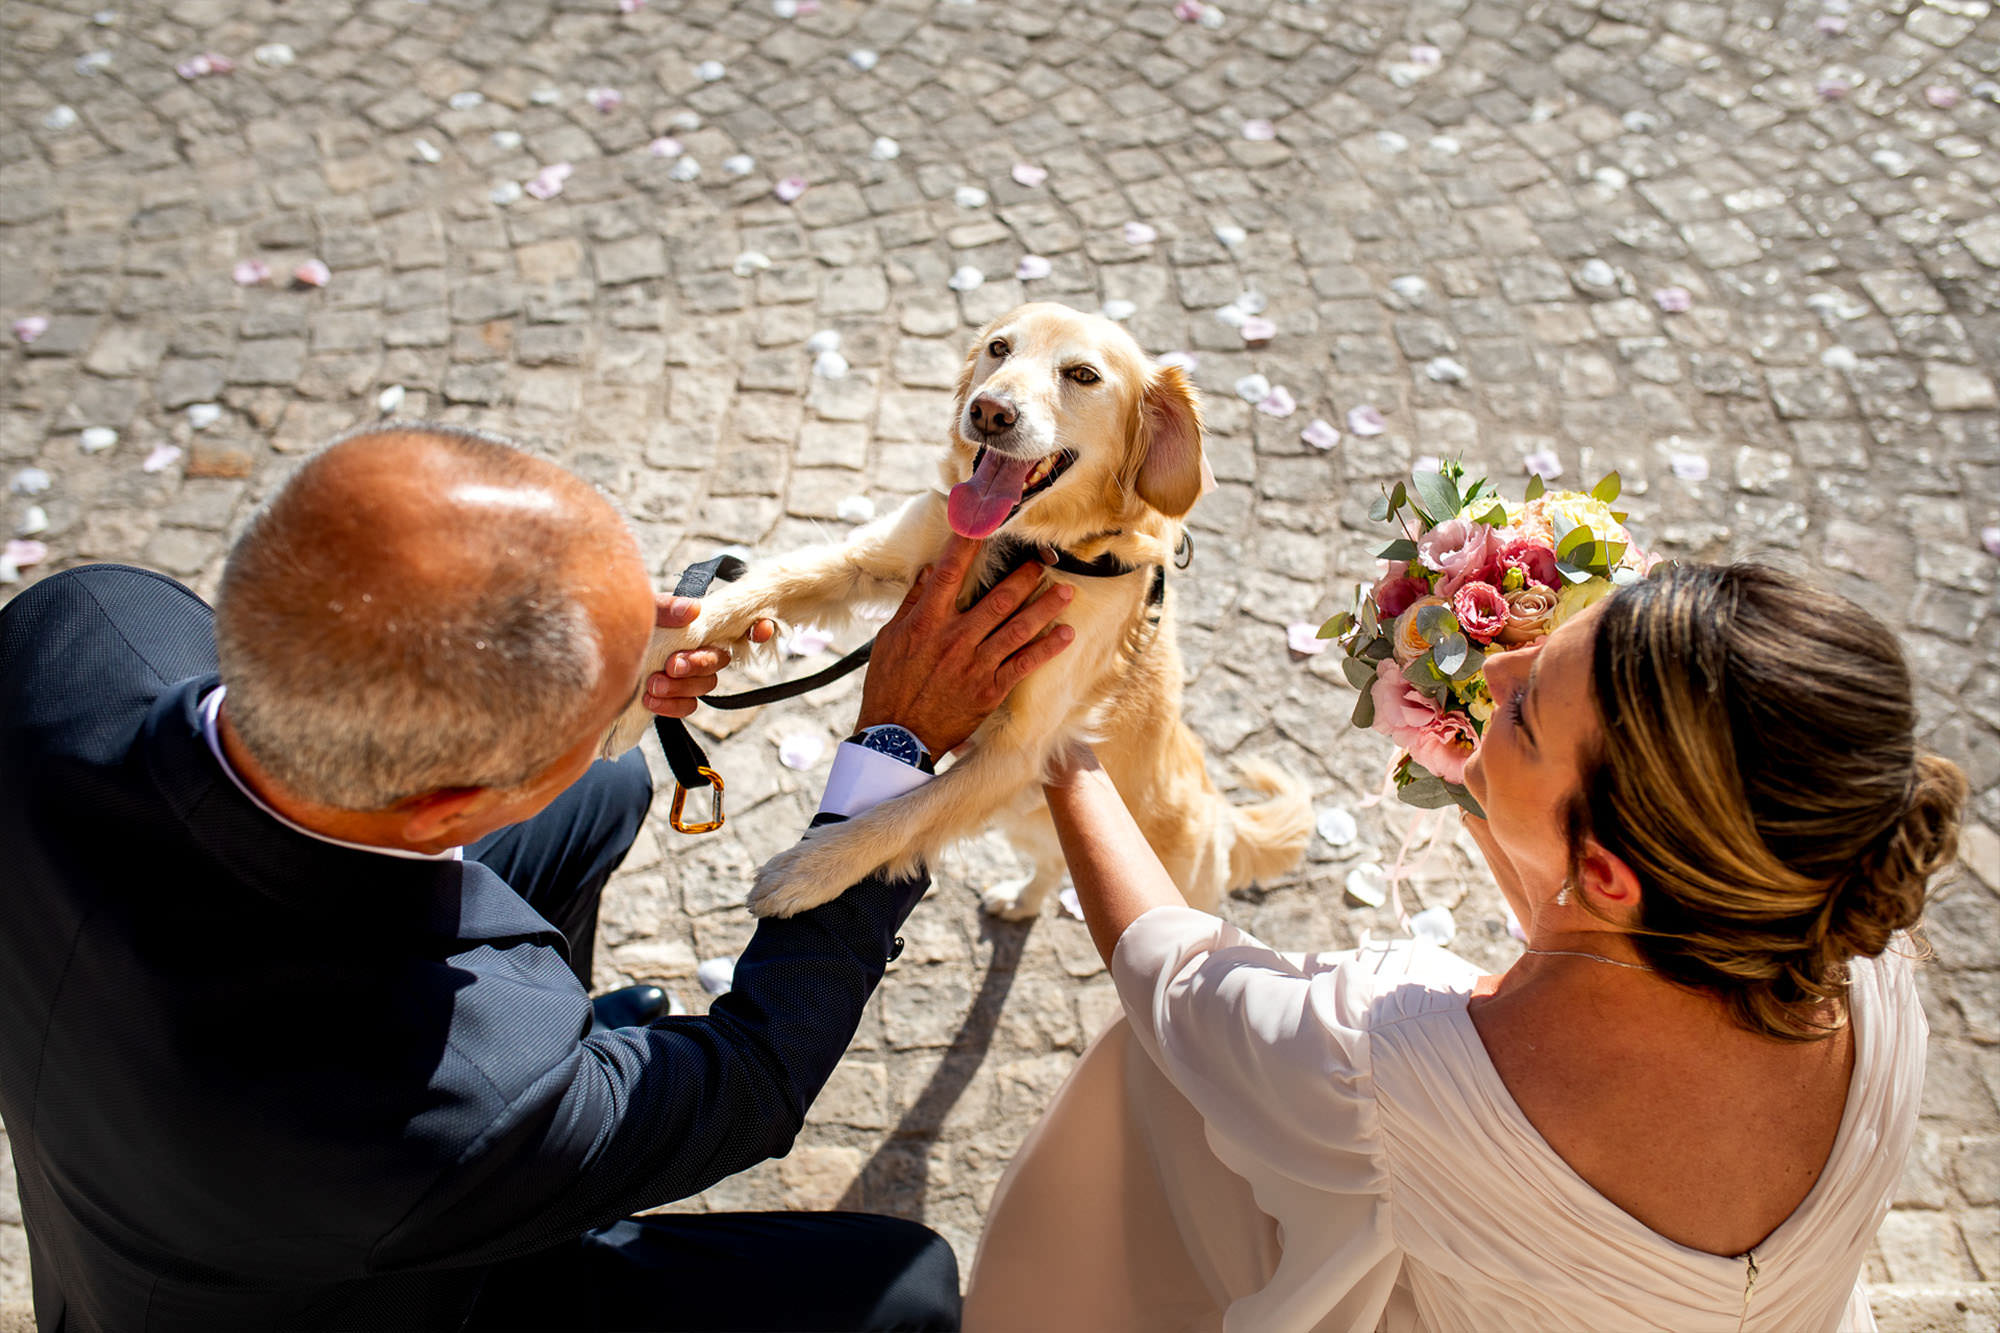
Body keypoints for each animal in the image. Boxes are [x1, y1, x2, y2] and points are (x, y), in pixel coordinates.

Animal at [596, 300, 1312, 912]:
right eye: (999, 348)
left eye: (1082, 375)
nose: (989, 411)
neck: (1026, 544)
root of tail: (1224, 819)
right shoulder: (868, 559)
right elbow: (734, 599)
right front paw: (635, 700)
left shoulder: (1018, 749)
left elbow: (905, 812)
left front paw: (806, 871)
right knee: (1049, 870)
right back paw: (1018, 903)